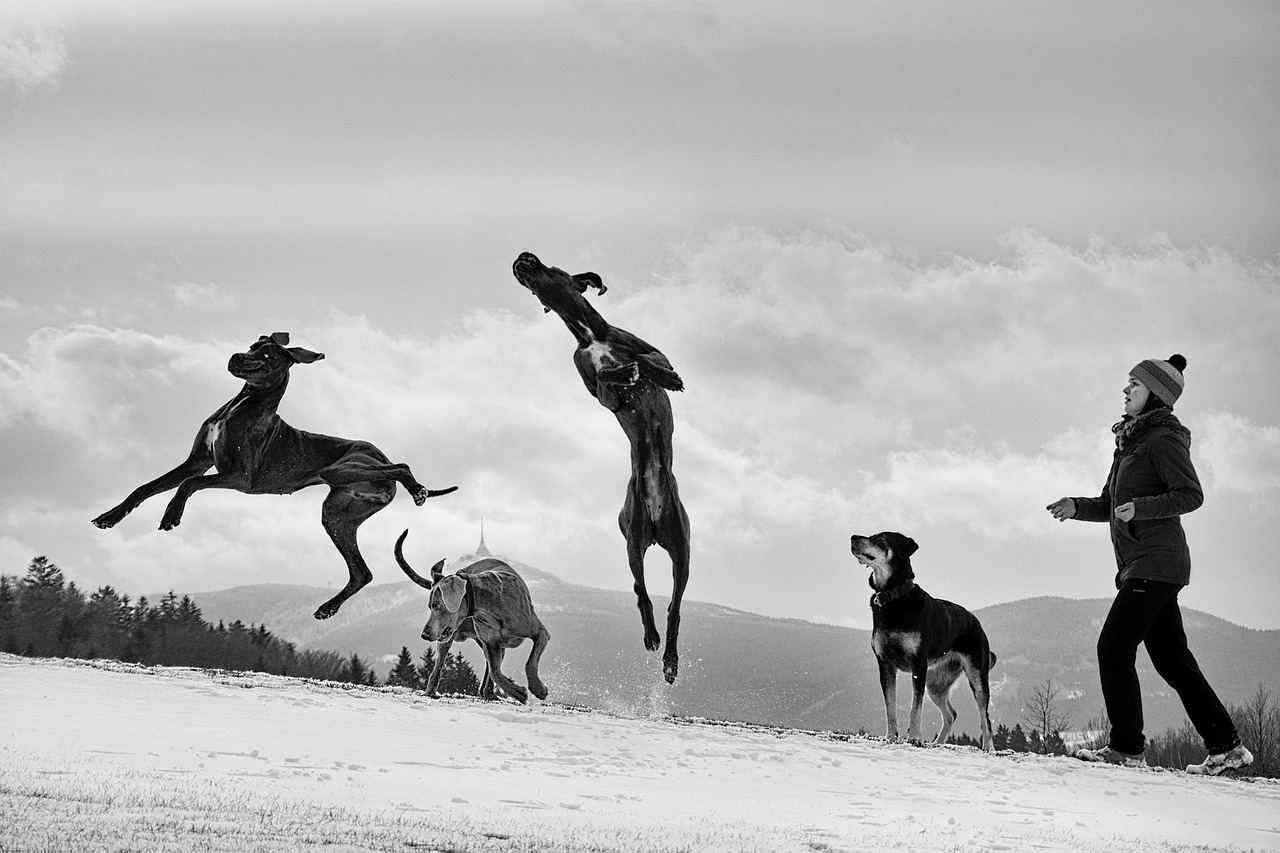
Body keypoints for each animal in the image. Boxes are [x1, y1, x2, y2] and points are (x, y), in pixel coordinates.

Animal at [849, 532, 998, 753]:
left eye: (881, 538)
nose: (853, 537)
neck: (894, 598)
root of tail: (976, 623)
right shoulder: (885, 664)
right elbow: (890, 707)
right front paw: (891, 737)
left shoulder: (918, 663)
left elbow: (915, 707)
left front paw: (914, 738)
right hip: (936, 684)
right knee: (951, 714)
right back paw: (937, 743)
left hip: (977, 675)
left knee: (984, 716)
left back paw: (988, 747)